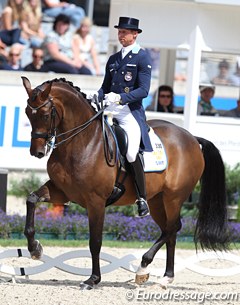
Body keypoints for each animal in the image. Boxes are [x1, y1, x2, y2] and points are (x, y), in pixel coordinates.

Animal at [22, 75, 229, 288]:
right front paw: (35, 249)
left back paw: (144, 267)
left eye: (46, 115)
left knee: (173, 228)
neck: (82, 142)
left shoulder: (96, 201)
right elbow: (31, 200)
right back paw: (165, 276)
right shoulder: (61, 191)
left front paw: (93, 279)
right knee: (170, 231)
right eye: (28, 113)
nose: (37, 152)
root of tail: (191, 138)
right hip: (157, 200)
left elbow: (95, 242)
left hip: (174, 197)